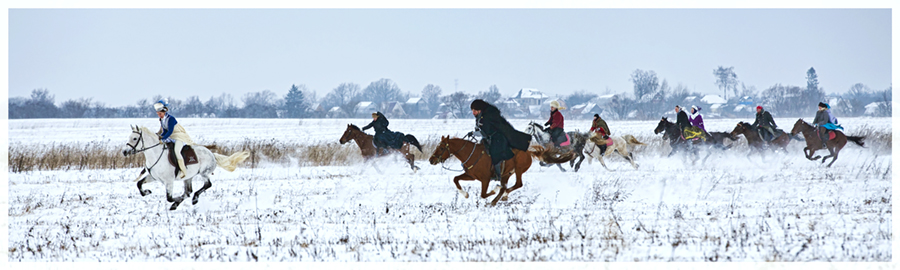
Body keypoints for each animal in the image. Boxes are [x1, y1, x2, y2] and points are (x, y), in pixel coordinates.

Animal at [428, 136, 568, 206]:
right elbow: (455, 179)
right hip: (506, 174)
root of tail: (528, 152)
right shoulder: (471, 175)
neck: (472, 154)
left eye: (441, 148)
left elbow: (483, 194)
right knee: (507, 186)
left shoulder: (485, 179)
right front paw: (465, 194)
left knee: (517, 184)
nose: (431, 160)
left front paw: (494, 190)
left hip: (518, 170)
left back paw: (499, 197)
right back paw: (499, 198)